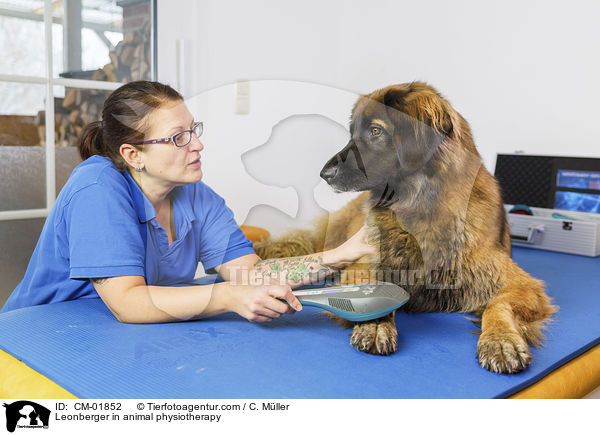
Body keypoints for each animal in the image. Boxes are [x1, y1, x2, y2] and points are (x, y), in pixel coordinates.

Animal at [254, 82, 556, 374]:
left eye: (375, 131)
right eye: (352, 133)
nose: (324, 174)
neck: (421, 210)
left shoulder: (515, 282)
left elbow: (499, 305)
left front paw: (501, 340)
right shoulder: (365, 263)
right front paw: (376, 324)